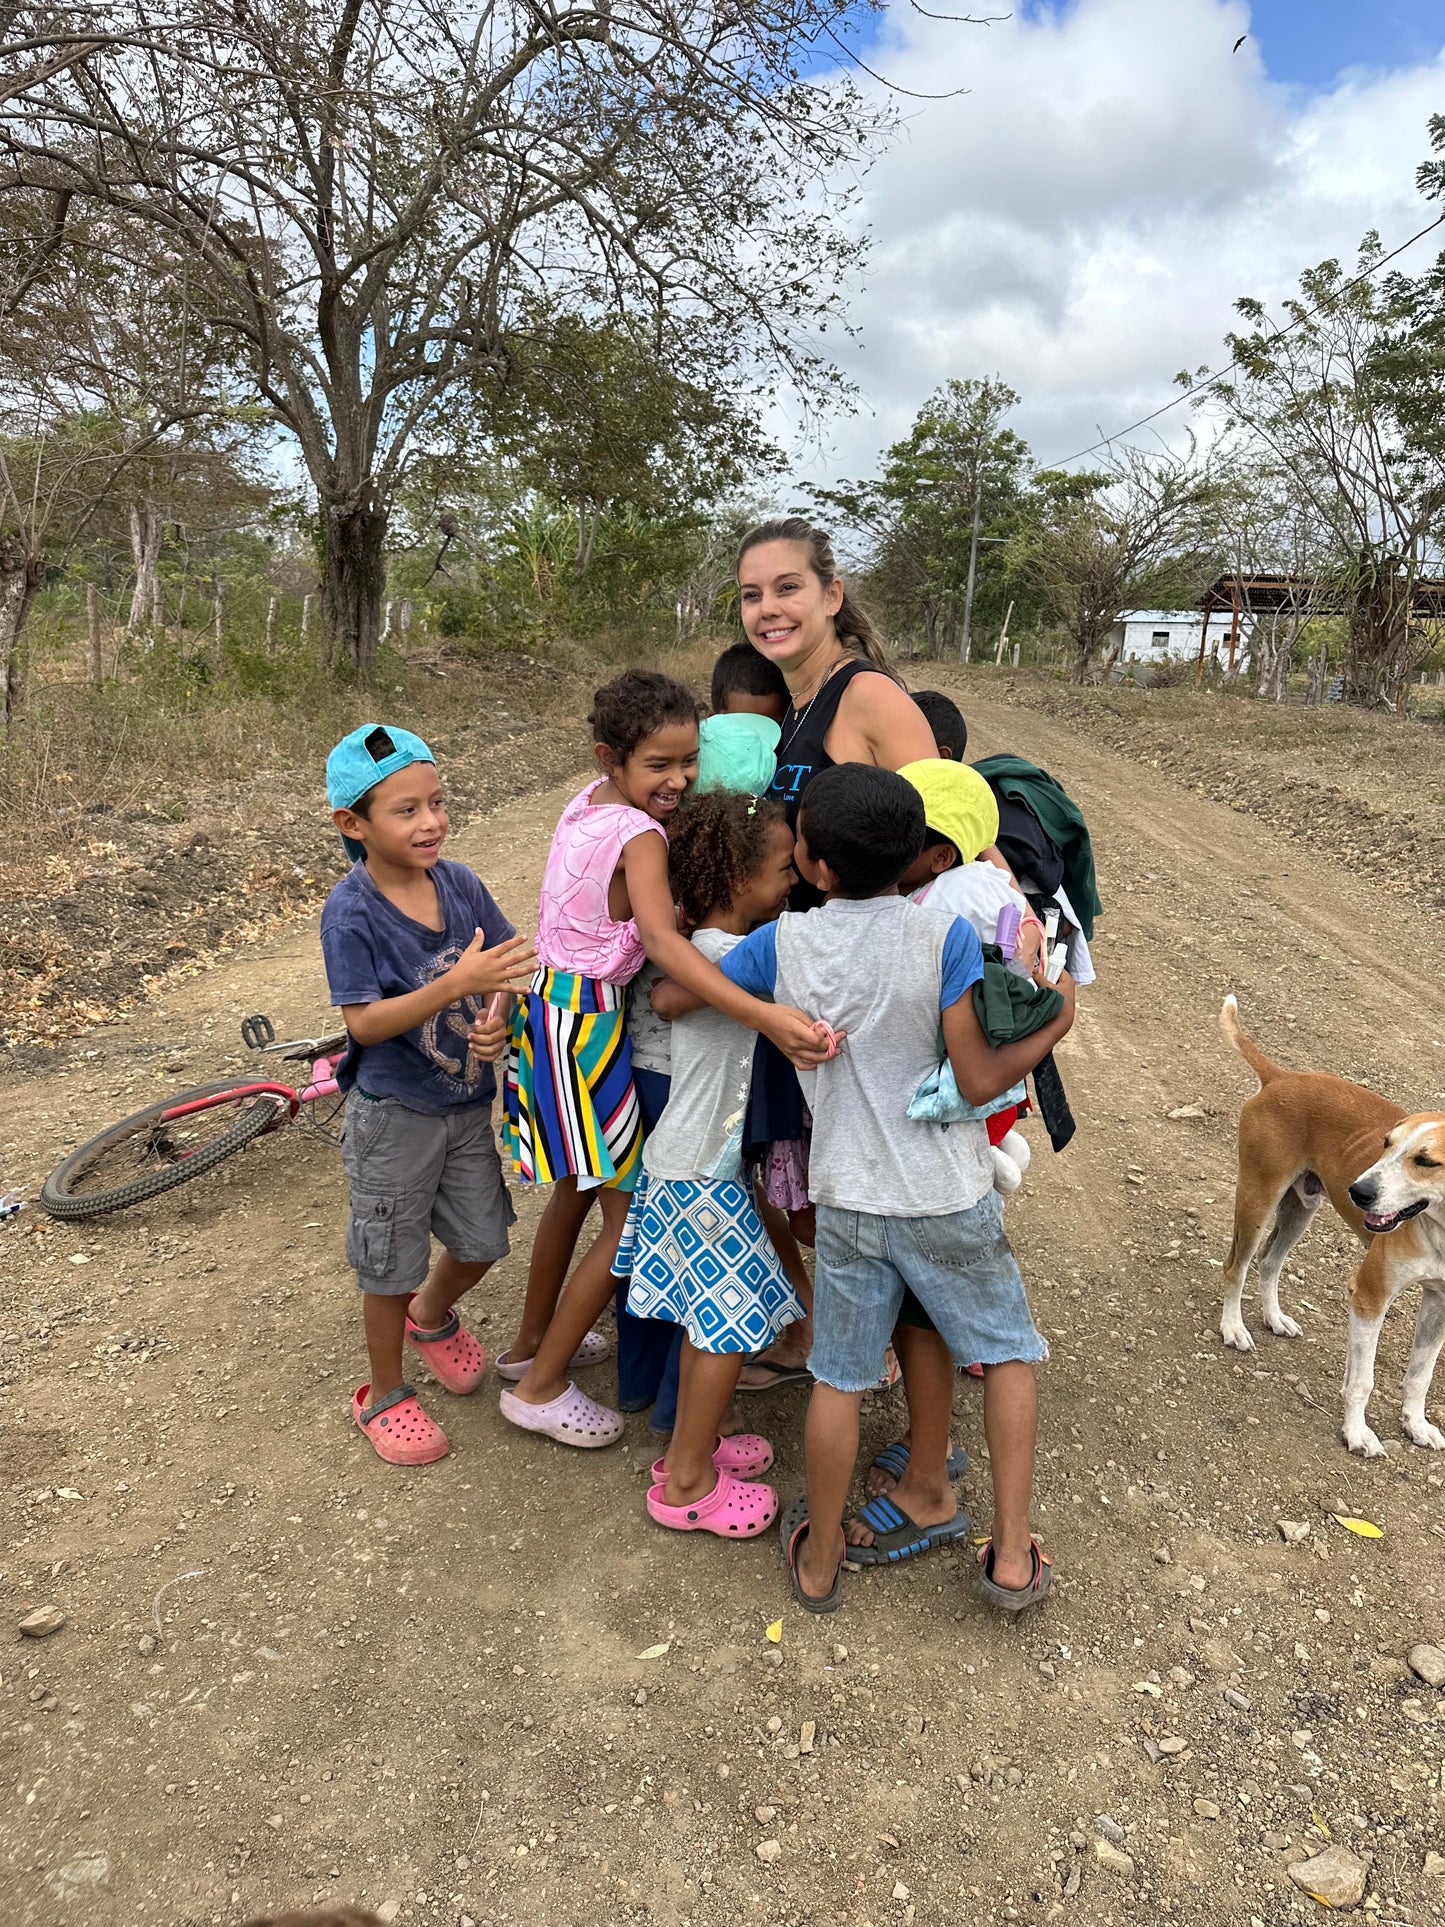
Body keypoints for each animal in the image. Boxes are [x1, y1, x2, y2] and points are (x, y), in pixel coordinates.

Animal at [1225, 1002, 1445, 1449]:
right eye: (1385, 1144)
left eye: (1426, 1161)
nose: (1358, 1190)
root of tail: (1283, 1077)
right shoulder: (1370, 1297)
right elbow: (1362, 1381)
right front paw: (1357, 1432)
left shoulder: (1439, 1305)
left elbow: (1421, 1376)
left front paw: (1415, 1424)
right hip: (1258, 1199)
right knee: (1235, 1267)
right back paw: (1233, 1327)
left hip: (1299, 1209)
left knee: (1269, 1263)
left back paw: (1274, 1318)